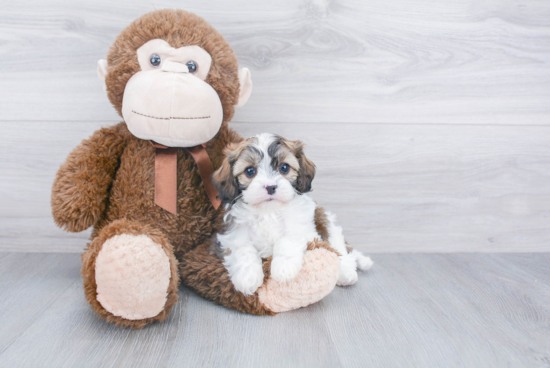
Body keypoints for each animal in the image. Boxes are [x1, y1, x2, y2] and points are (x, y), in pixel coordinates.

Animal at [213, 133, 374, 296]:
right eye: (250, 171)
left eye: (284, 167)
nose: (270, 187)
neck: (268, 212)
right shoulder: (232, 235)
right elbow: (243, 249)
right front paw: (247, 277)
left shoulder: (304, 227)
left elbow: (288, 239)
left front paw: (283, 268)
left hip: (327, 223)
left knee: (339, 249)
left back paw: (346, 272)